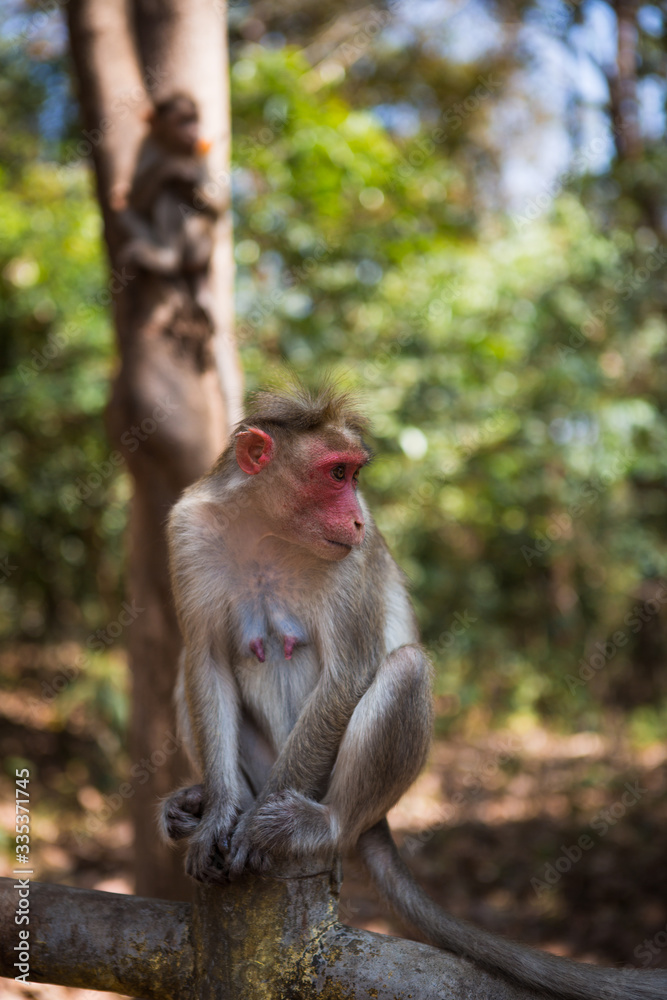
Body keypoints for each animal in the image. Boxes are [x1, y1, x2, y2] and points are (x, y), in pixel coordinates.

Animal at [160, 383, 667, 1000]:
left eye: (354, 474)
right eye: (336, 473)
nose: (357, 519)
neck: (266, 528)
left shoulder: (349, 560)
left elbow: (350, 672)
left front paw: (253, 827)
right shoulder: (188, 531)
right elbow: (205, 661)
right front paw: (218, 819)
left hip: (337, 789)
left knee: (404, 670)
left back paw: (320, 827)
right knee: (184, 669)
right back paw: (197, 804)